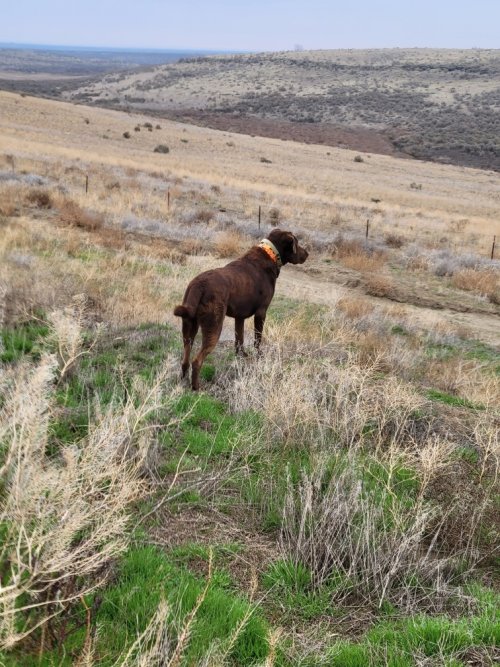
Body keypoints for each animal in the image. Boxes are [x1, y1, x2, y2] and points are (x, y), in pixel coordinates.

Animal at [176, 228, 308, 388]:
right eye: (297, 243)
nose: (307, 253)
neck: (270, 254)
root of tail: (199, 285)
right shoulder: (261, 312)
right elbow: (257, 340)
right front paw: (258, 357)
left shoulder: (239, 317)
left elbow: (239, 340)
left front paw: (241, 357)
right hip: (213, 326)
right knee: (197, 361)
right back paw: (196, 388)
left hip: (189, 325)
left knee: (185, 357)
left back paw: (182, 380)